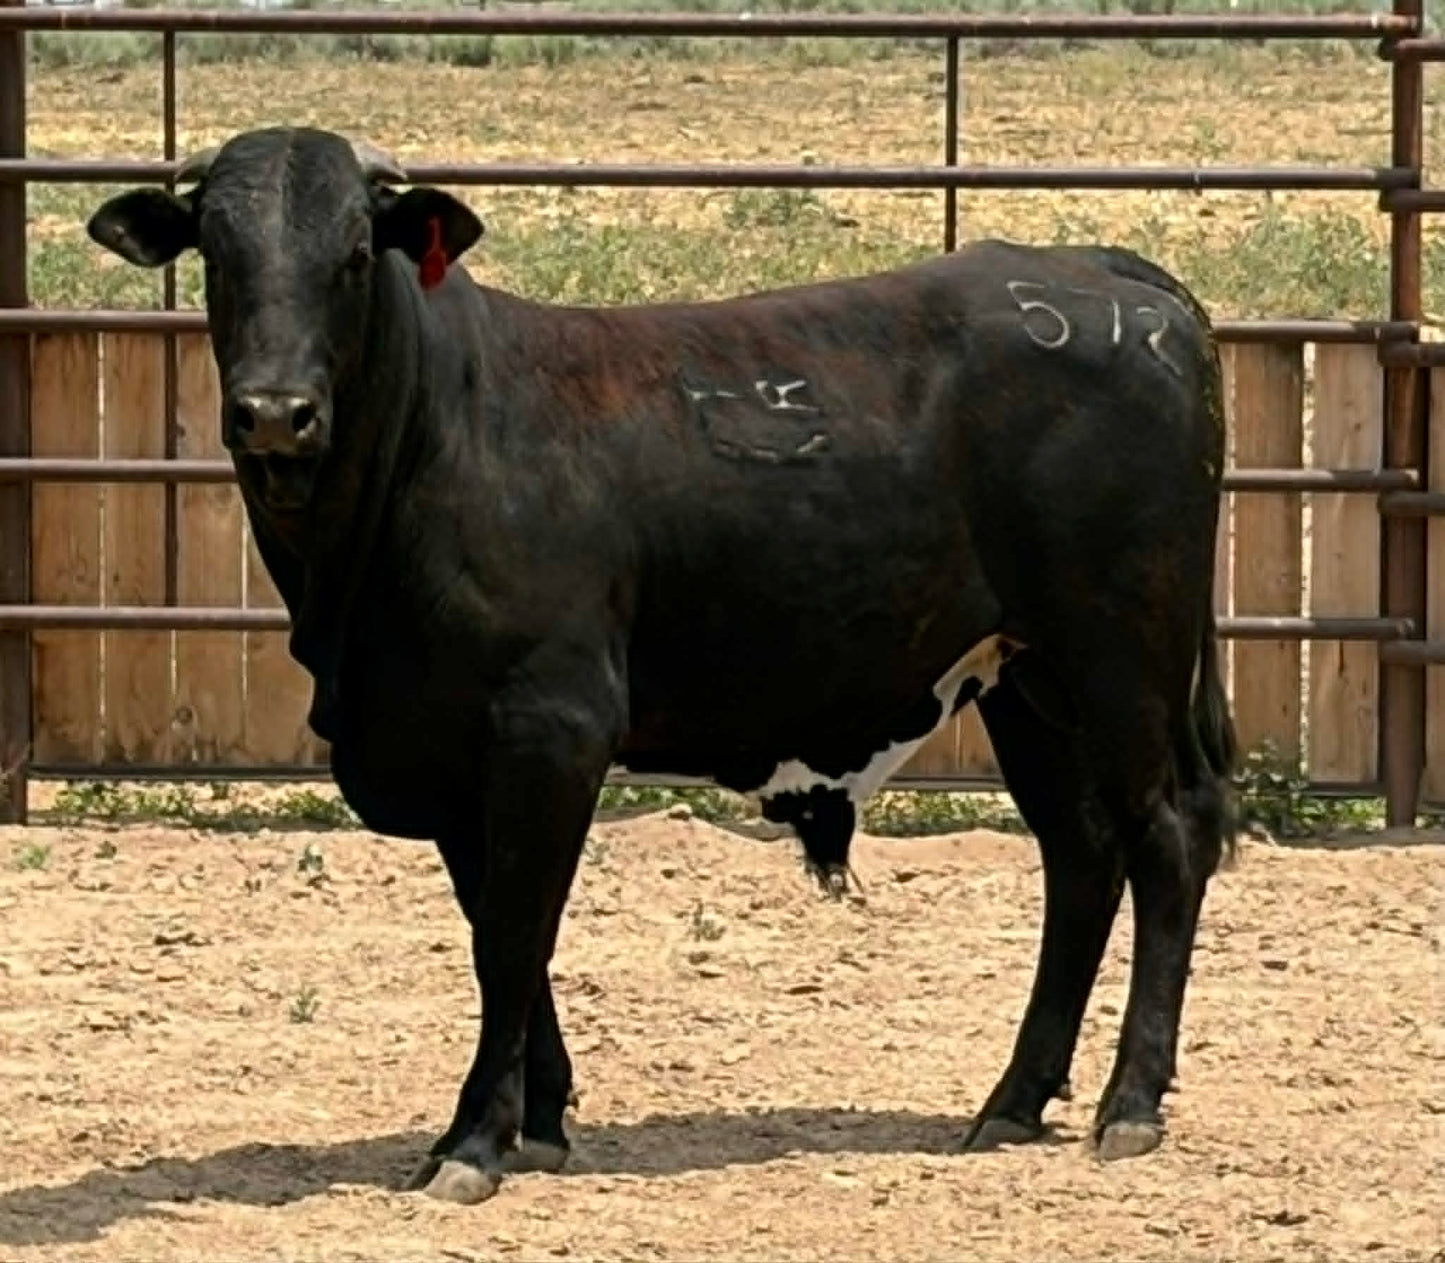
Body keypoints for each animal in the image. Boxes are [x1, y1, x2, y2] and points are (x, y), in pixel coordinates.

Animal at [86, 125, 1236, 1205]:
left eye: (356, 254)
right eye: (217, 254)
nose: (275, 413)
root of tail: (1110, 277)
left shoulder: (549, 726)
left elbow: (513, 935)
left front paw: (472, 1141)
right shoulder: (450, 752)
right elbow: (502, 928)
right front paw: (540, 1117)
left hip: (1122, 653)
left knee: (1167, 835)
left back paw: (1127, 1102)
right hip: (1026, 680)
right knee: (1079, 855)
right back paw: (1011, 1101)